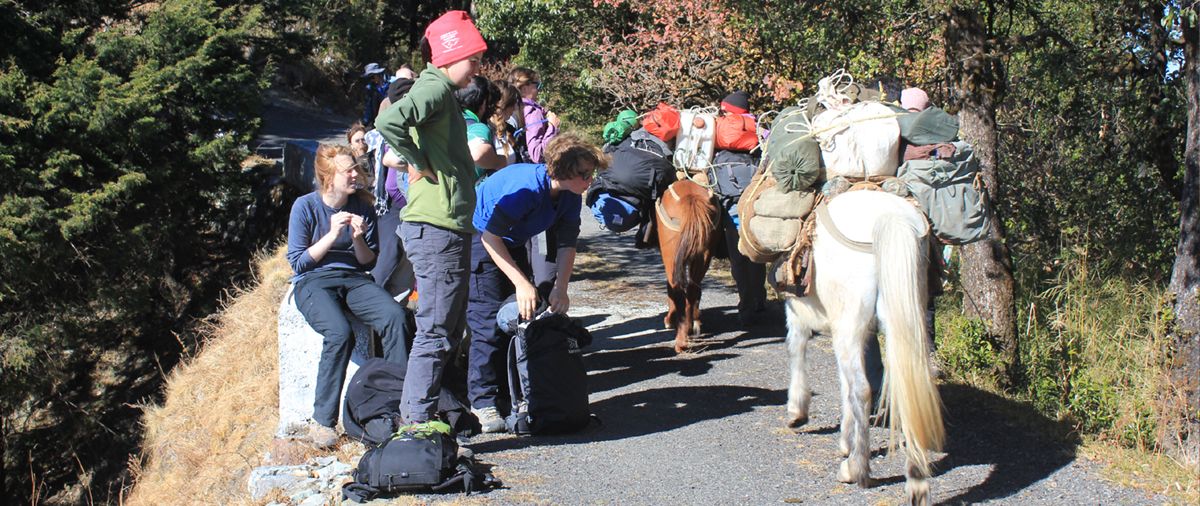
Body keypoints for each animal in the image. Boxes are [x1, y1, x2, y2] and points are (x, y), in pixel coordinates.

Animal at [657, 181, 720, 352]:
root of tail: (691, 198)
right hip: (703, 255)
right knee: (693, 289)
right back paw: (690, 328)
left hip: (670, 257)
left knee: (676, 289)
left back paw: (680, 341)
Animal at [787, 190, 945, 505]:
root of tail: (891, 218)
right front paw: (844, 440)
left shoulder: (800, 309)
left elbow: (797, 347)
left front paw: (797, 411)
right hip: (904, 316)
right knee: (906, 385)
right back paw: (917, 480)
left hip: (848, 324)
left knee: (861, 388)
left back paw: (855, 469)